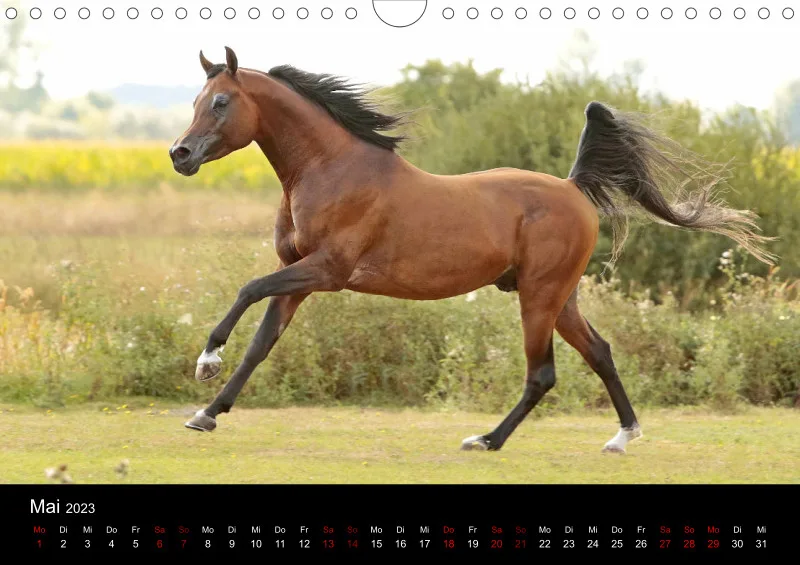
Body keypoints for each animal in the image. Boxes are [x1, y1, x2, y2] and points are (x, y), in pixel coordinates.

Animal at [169, 47, 775, 453]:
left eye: (220, 102)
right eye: (195, 99)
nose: (180, 154)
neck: (330, 170)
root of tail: (573, 188)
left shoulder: (325, 271)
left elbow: (247, 291)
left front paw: (206, 362)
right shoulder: (297, 273)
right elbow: (261, 344)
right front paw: (207, 413)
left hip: (538, 297)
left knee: (542, 374)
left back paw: (487, 440)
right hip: (559, 298)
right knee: (599, 352)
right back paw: (622, 437)